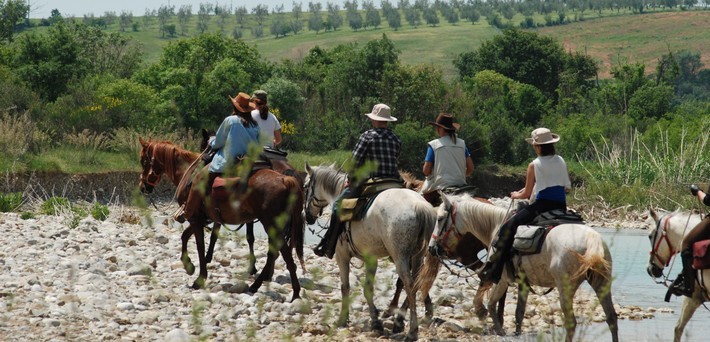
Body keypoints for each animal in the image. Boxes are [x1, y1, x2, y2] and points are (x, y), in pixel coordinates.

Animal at [139, 138, 306, 300]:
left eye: (143, 161)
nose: (142, 187)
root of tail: (285, 179)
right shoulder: (200, 219)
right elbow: (185, 236)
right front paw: (189, 266)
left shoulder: (195, 219)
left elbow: (199, 246)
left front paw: (199, 278)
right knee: (275, 252)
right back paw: (257, 285)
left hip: (270, 223)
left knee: (282, 253)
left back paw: (294, 292)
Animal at [304, 163, 436, 340]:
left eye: (305, 187)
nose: (307, 216)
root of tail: (419, 206)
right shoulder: (371, 258)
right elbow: (368, 289)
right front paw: (376, 322)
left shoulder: (342, 255)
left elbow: (345, 287)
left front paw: (342, 319)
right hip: (417, 256)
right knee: (415, 282)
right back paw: (400, 322)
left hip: (400, 256)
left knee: (408, 283)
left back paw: (411, 330)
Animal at [420, 195, 620, 342]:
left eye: (440, 219)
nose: (432, 248)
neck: (496, 227)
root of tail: (592, 241)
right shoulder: (523, 282)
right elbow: (519, 313)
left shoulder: (501, 279)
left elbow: (491, 304)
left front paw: (498, 329)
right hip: (601, 282)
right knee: (611, 317)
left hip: (566, 287)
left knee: (572, 322)